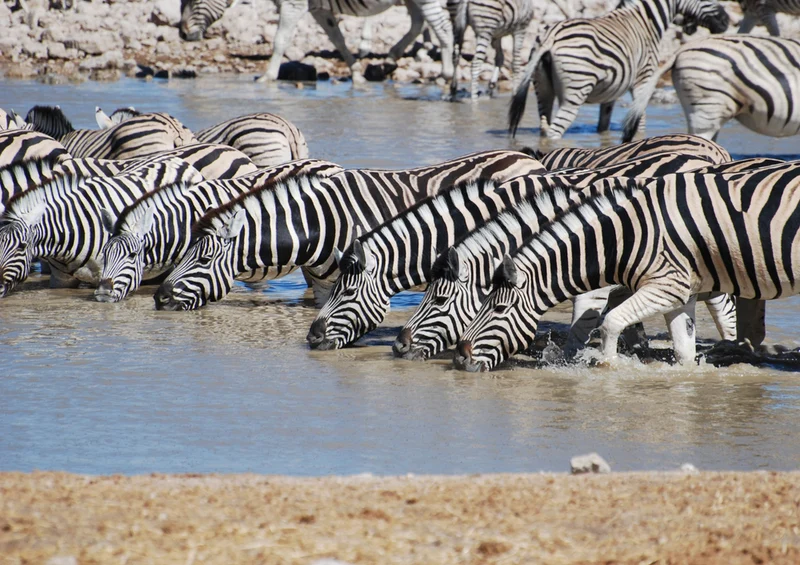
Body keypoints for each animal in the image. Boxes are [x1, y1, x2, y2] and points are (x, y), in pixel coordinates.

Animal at [179, 0, 454, 83]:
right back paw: (389, 59)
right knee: (418, 22)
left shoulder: (293, 4)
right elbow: (338, 38)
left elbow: (280, 39)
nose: (181, 34)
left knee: (442, 28)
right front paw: (356, 72)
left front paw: (267, 76)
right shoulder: (319, 9)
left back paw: (446, 74)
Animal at [507, 0, 730, 142]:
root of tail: (551, 36)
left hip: (542, 88)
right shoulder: (643, 78)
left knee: (544, 125)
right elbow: (640, 120)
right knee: (555, 131)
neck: (645, 21)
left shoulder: (611, 92)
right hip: (576, 88)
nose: (726, 21)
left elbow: (603, 125)